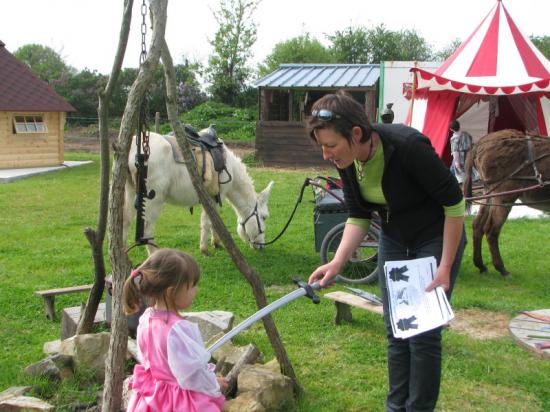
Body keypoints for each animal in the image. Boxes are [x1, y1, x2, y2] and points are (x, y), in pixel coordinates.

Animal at [123, 132, 274, 254]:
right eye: (264, 217)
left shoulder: (213, 198)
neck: (230, 168)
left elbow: (215, 221)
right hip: (153, 200)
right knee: (147, 229)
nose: (262, 246)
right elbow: (209, 221)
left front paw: (216, 242)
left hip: (130, 192)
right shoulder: (215, 197)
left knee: (126, 221)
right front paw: (205, 248)